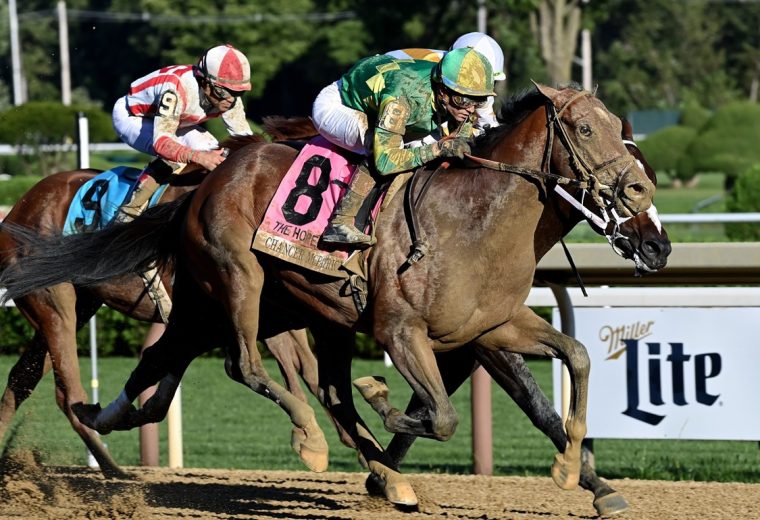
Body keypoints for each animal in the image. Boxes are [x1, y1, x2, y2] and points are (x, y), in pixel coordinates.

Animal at [1, 86, 660, 512]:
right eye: (584, 129)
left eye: (622, 130)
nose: (643, 204)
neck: (475, 219)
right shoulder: (401, 331)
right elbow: (440, 412)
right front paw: (385, 405)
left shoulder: (490, 325)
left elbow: (573, 357)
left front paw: (575, 470)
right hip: (224, 283)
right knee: (242, 367)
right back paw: (311, 443)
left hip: (252, 308)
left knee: (138, 370)